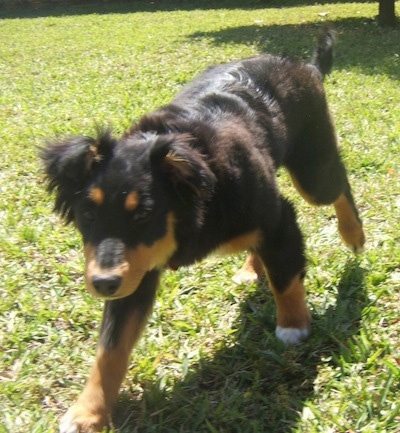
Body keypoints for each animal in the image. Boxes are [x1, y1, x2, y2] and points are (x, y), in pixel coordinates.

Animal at [40, 27, 366, 432]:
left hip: (312, 170)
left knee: (338, 187)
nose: (102, 284)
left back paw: (354, 235)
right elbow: (111, 346)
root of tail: (303, 65)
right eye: (87, 213)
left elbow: (287, 279)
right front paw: (88, 413)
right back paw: (252, 267)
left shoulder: (279, 219)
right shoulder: (133, 269)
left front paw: (293, 325)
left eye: (144, 213)